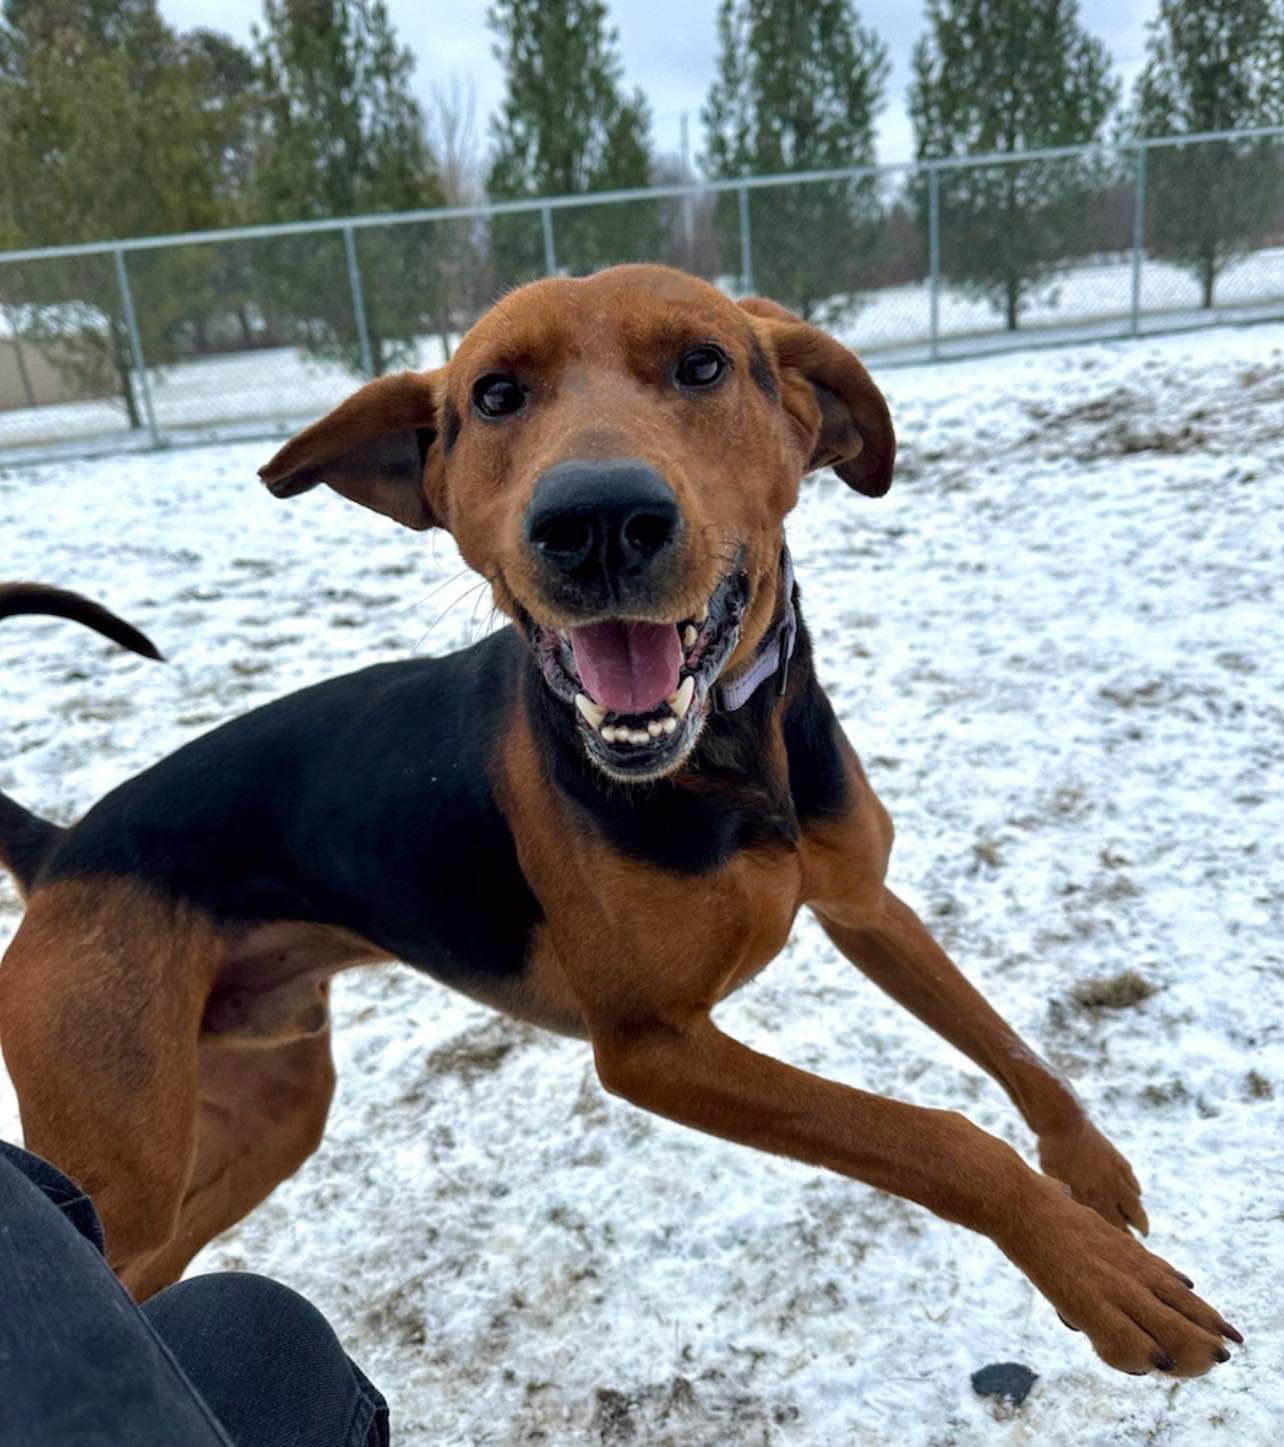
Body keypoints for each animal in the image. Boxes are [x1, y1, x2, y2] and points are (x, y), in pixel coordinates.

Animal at [2, 266, 1244, 1371]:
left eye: (703, 365)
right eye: (495, 394)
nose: (597, 518)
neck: (736, 764)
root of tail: (62, 848)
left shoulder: (861, 901)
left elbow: (1003, 1038)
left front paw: (1089, 1169)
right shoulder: (652, 1045)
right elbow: (931, 1134)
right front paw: (1095, 1272)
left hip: (263, 1111)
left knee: (150, 1259)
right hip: (130, 1143)